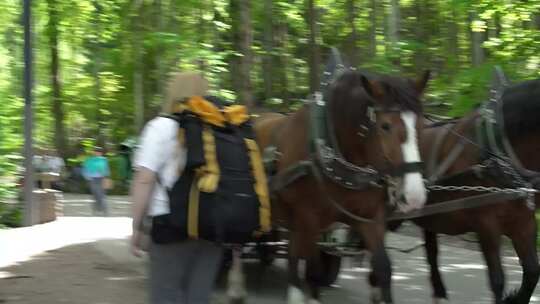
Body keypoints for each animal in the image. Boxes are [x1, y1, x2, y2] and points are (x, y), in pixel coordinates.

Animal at [249, 69, 430, 304]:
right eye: (385, 126)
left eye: (421, 125)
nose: (414, 197)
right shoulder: (309, 218)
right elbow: (313, 272)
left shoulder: (370, 218)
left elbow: (383, 269)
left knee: (292, 256)